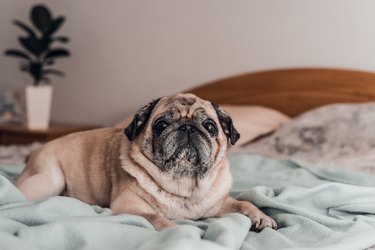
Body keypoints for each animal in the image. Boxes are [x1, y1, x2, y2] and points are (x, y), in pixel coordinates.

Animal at [16, 93, 276, 230]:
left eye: (210, 127)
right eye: (161, 125)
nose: (187, 127)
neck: (184, 183)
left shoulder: (218, 204)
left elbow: (244, 203)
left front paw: (261, 216)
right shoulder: (128, 207)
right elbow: (157, 217)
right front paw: (176, 230)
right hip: (48, 180)